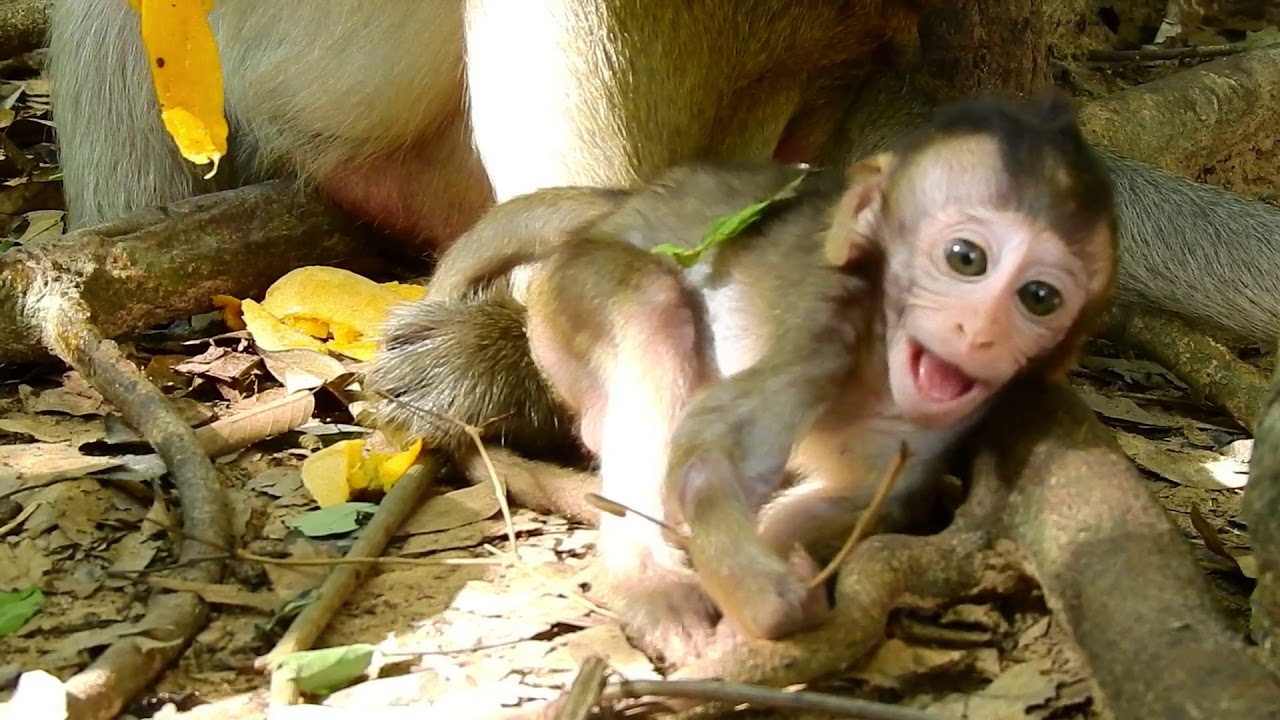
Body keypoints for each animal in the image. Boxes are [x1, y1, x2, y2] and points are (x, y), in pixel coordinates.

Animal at [366, 92, 1118, 660]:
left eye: (1040, 298)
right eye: (966, 258)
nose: (980, 331)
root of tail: (622, 204)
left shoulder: (947, 422)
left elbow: (859, 496)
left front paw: (784, 564)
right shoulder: (824, 325)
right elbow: (715, 452)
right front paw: (769, 599)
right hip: (571, 288)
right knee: (651, 308)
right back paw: (645, 578)